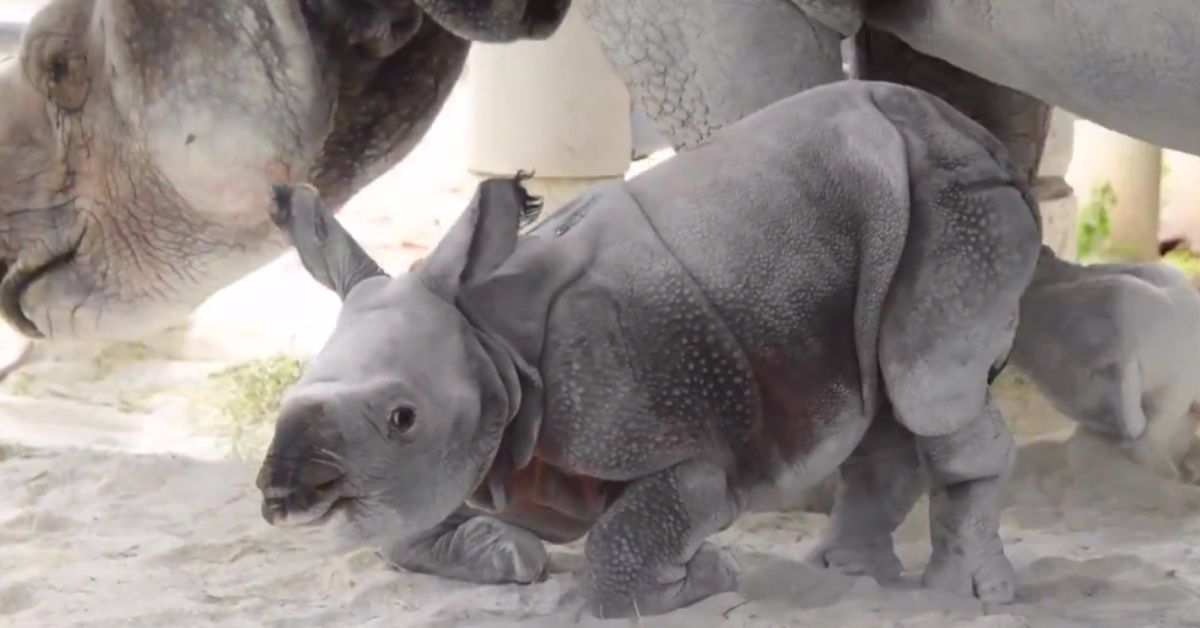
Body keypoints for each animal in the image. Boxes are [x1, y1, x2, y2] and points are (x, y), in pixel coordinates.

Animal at [260, 79, 1041, 619]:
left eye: (403, 417)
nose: (280, 497)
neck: (489, 338)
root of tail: (967, 126)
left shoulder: (674, 441)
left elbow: (623, 551)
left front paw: (709, 578)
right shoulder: (477, 457)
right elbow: (405, 526)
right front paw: (507, 555)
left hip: (955, 198)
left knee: (928, 392)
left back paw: (963, 595)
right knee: (883, 392)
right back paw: (842, 576)